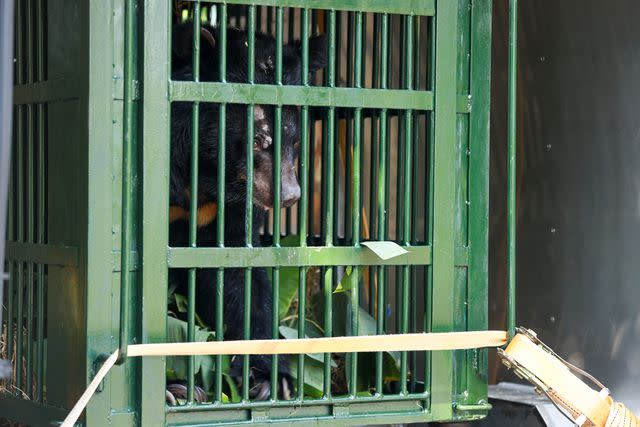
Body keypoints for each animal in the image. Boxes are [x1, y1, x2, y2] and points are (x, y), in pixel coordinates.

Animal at [168, 23, 328, 402]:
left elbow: (236, 279)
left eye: (295, 142)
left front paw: (270, 380)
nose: (289, 196)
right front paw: (174, 386)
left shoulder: (227, 209)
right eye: (258, 140)